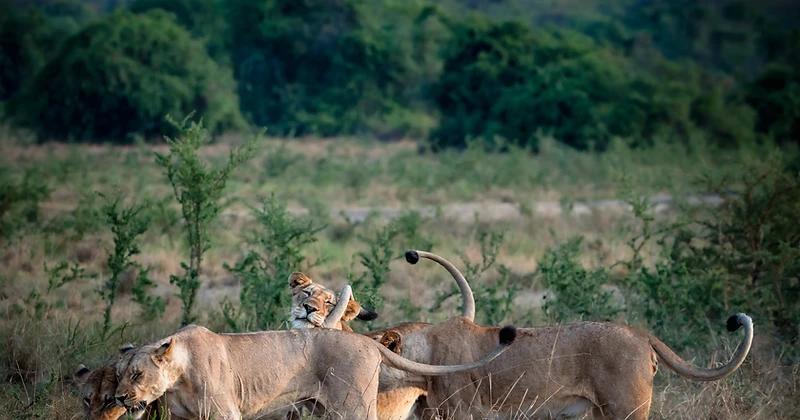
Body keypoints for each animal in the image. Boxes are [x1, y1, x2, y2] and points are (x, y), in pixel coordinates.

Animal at [114, 285, 518, 420]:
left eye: (137, 374)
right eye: (117, 374)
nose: (119, 397)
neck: (178, 376)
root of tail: (367, 341)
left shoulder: (226, 414)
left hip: (353, 407)